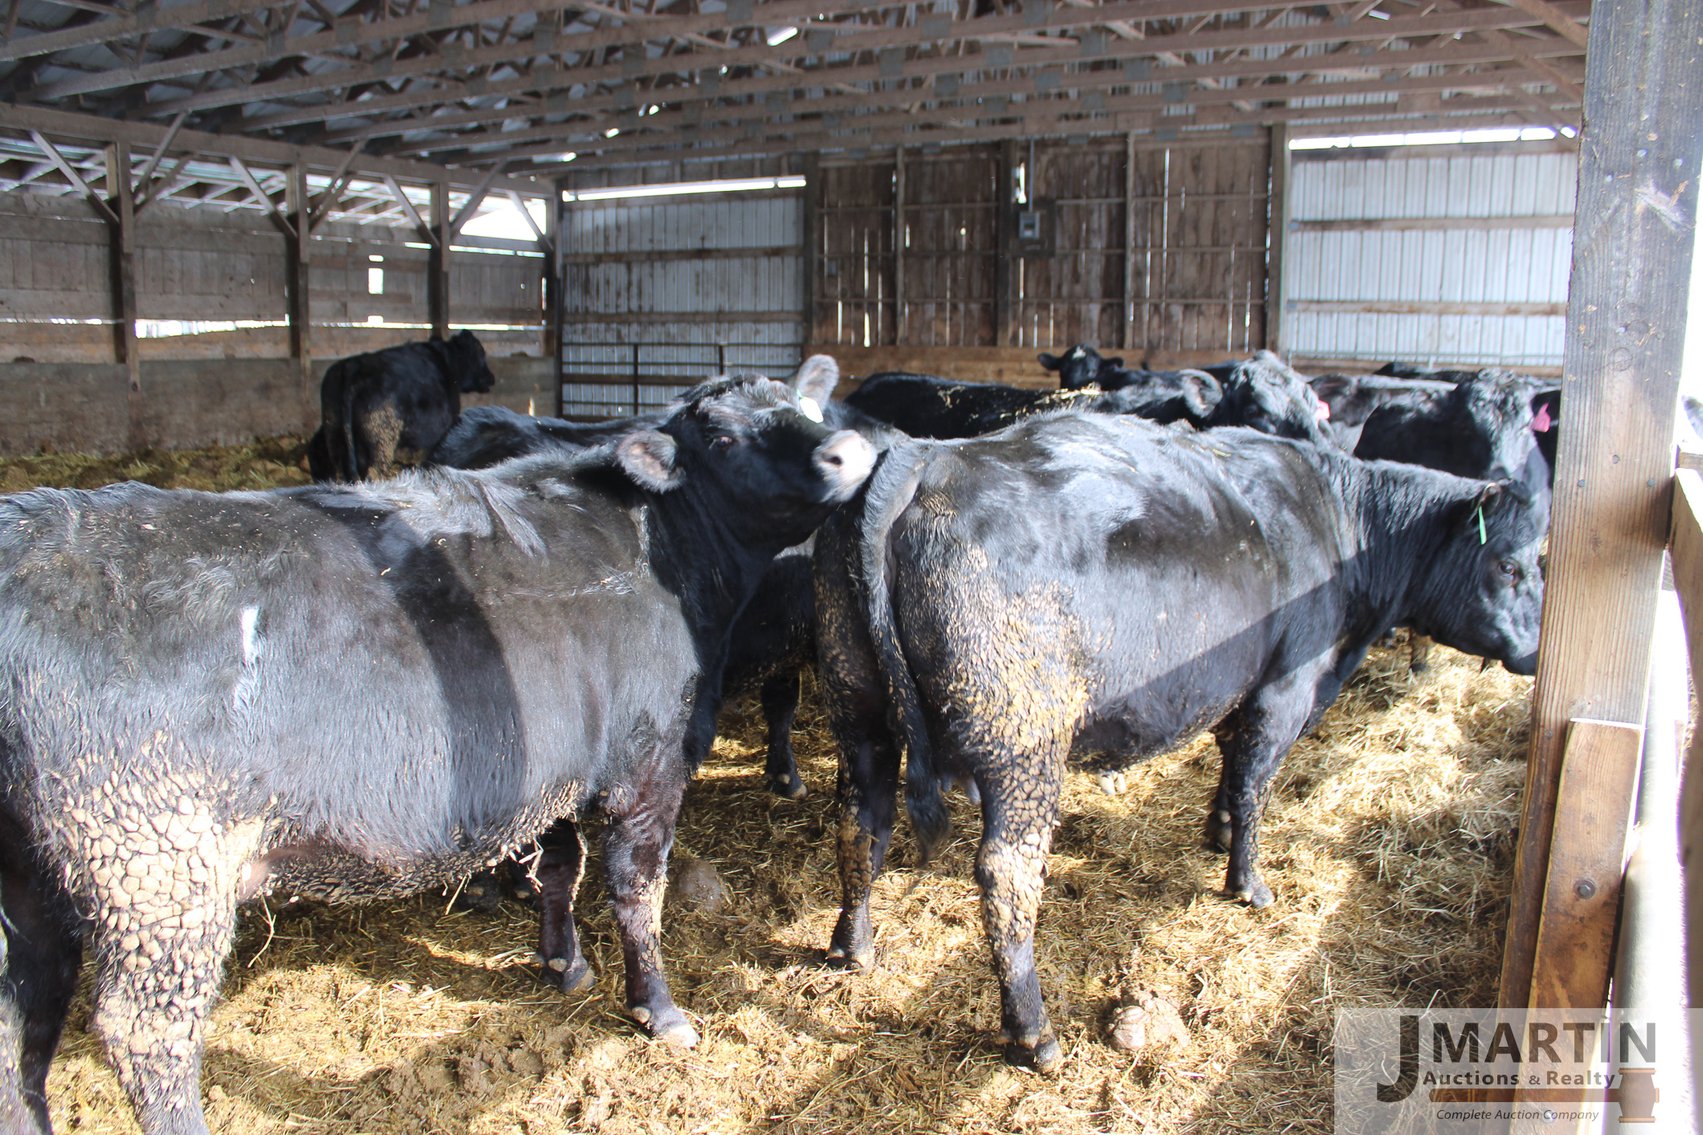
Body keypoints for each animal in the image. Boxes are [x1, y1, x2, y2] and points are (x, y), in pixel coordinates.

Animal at [0, 374, 876, 1135]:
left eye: (805, 407)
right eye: (724, 436)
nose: (847, 451)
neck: (661, 545)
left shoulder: (547, 767)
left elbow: (558, 869)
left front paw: (561, 961)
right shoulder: (646, 762)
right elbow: (637, 892)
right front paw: (655, 1006)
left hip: (36, 887)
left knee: (22, 1023)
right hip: (153, 871)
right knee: (145, 1034)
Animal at [309, 329, 496, 482]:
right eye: (480, 352)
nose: (491, 378)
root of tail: (353, 366)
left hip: (333, 433)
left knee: (339, 473)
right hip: (382, 439)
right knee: (374, 472)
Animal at [813, 410, 1546, 1072]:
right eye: (1510, 565)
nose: (1537, 651)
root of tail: (928, 456)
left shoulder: (1235, 688)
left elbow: (1232, 767)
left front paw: (1216, 829)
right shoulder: (1284, 687)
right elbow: (1254, 786)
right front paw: (1247, 881)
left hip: (859, 711)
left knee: (860, 820)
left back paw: (853, 944)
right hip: (1022, 743)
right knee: (1006, 873)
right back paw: (1033, 1032)